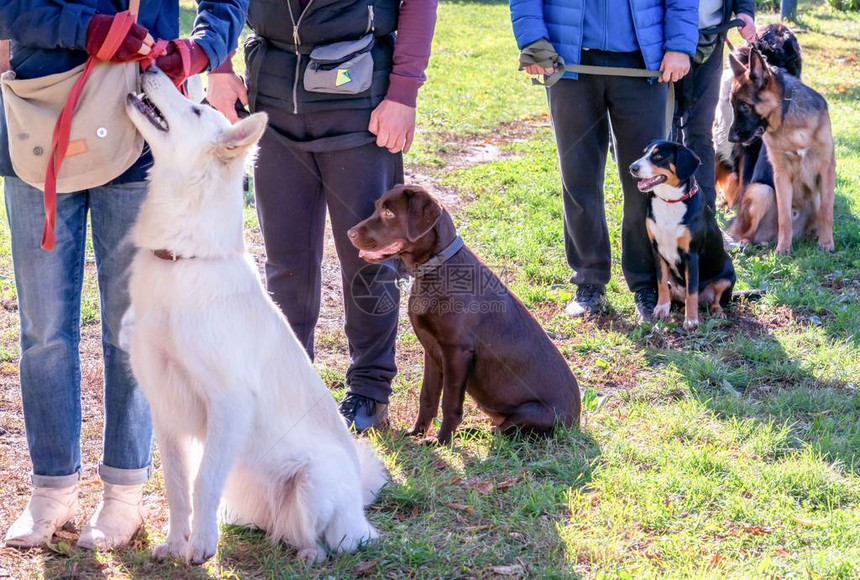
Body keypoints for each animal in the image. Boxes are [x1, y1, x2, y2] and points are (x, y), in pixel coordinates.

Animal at [123, 70, 386, 564]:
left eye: (195, 109)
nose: (149, 68)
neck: (182, 259)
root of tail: (359, 513)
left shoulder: (229, 402)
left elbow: (202, 480)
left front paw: (200, 546)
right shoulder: (165, 410)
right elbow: (178, 487)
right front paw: (175, 542)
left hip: (313, 482)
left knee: (322, 539)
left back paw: (309, 554)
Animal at [628, 141, 736, 330]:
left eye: (658, 156)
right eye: (644, 153)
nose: (632, 167)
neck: (670, 201)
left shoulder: (691, 255)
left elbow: (691, 292)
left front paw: (691, 320)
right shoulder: (657, 250)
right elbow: (661, 283)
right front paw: (661, 309)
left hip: (728, 276)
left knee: (716, 300)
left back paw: (718, 312)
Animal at [728, 46, 836, 253]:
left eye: (744, 106)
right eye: (732, 105)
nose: (731, 139)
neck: (790, 122)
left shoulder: (826, 169)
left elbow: (827, 211)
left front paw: (827, 243)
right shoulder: (782, 174)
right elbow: (785, 217)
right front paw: (783, 249)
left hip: (815, 196)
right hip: (761, 191)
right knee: (744, 234)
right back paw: (746, 243)